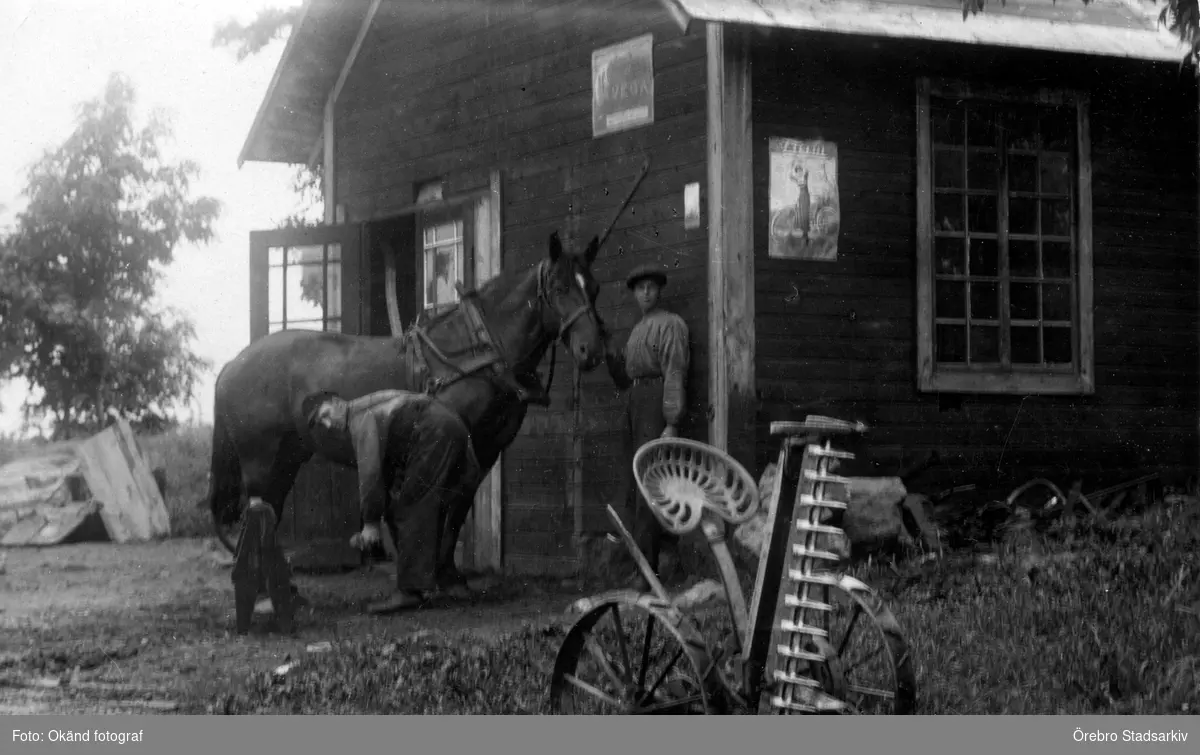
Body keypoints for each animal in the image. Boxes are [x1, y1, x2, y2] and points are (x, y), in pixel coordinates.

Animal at [206, 228, 604, 588]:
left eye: (594, 288)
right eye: (560, 288)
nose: (591, 350)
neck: (478, 349)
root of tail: (232, 365)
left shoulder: (486, 448)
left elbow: (460, 505)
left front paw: (448, 572)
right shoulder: (456, 440)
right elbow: (445, 502)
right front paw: (436, 573)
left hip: (287, 457)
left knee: (268, 512)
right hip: (259, 460)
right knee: (255, 514)